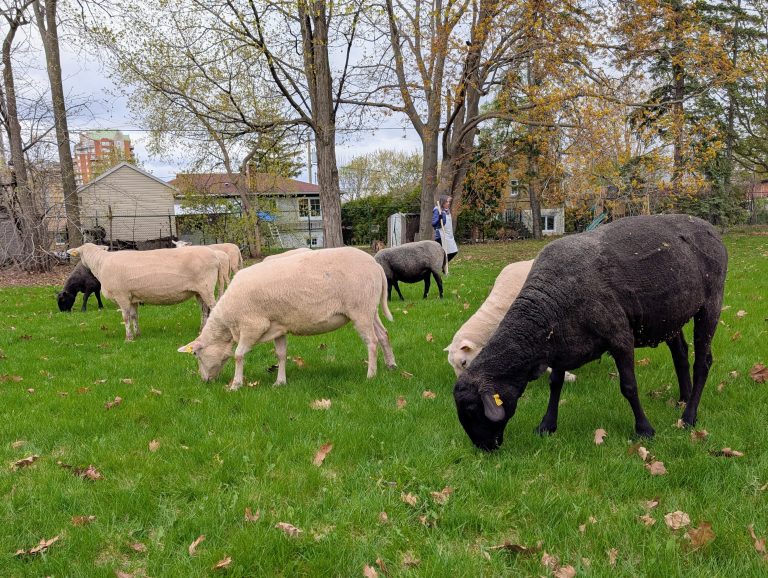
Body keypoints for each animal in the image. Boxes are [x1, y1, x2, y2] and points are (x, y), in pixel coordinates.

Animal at [67, 243, 220, 341]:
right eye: (82, 253)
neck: (100, 264)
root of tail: (216, 256)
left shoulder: (121, 295)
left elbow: (125, 317)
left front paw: (128, 338)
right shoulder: (132, 297)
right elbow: (134, 316)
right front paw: (138, 334)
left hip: (206, 286)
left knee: (213, 307)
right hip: (198, 291)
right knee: (204, 310)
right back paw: (201, 329)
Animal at [177, 246, 397, 389]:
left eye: (196, 355)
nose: (204, 381)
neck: (227, 324)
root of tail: (375, 265)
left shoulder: (253, 325)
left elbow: (238, 355)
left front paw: (236, 384)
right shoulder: (277, 327)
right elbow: (281, 354)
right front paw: (280, 382)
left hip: (360, 309)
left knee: (372, 341)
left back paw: (371, 375)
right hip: (370, 308)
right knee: (383, 334)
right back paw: (391, 365)